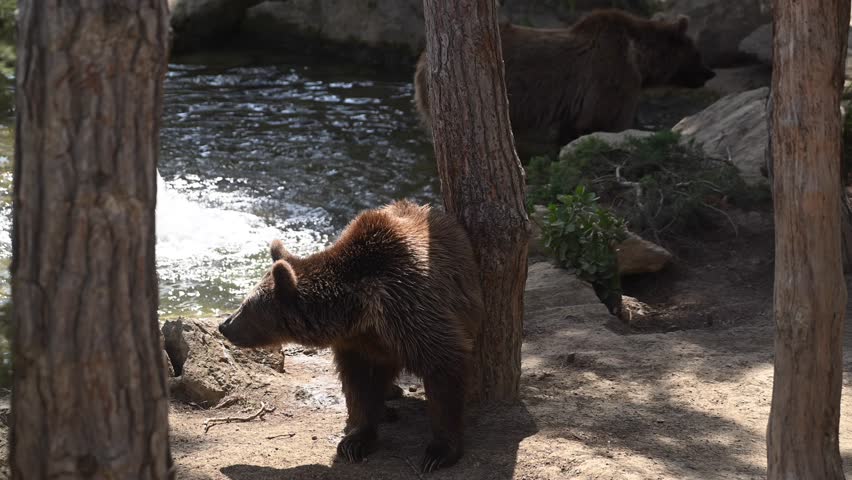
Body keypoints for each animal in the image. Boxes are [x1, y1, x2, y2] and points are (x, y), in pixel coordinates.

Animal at [218, 200, 484, 473]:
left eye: (246, 306)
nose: (224, 325)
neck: (359, 312)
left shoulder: (411, 309)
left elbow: (443, 365)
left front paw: (439, 452)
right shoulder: (357, 343)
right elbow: (359, 385)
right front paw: (356, 441)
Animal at [414, 9, 716, 158]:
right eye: (697, 52)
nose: (709, 72)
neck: (640, 59)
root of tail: (423, 58)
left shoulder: (576, 104)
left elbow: (571, 132)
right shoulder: (610, 79)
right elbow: (605, 123)